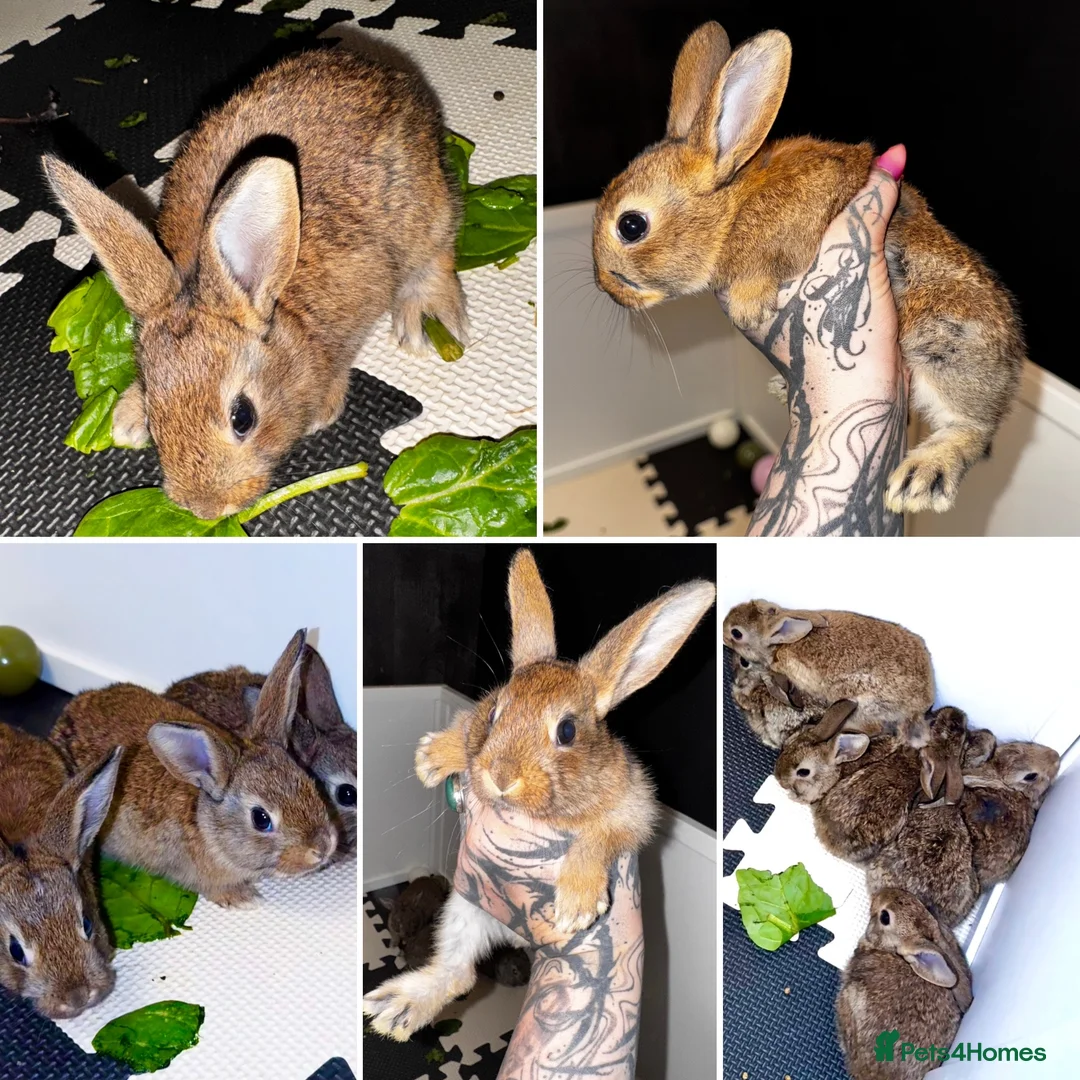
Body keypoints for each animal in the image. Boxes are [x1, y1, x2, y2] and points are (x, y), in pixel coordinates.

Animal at [43, 47, 468, 521]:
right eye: (157, 418)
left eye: (242, 418)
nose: (207, 509)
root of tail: (389, 73)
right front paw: (127, 419)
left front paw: (323, 407)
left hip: (426, 210)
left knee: (439, 246)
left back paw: (428, 317)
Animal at [50, 630, 337, 907]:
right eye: (261, 819)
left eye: (310, 782)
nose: (322, 847)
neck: (205, 824)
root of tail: (70, 710)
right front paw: (244, 899)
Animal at [363, 548, 716, 1041]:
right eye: (495, 711)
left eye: (567, 731)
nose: (500, 775)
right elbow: (464, 732)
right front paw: (432, 758)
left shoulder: (634, 809)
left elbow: (600, 836)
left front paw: (577, 903)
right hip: (462, 910)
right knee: (458, 974)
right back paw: (399, 1007)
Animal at [594, 21, 1023, 515]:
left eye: (631, 225)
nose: (606, 287)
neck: (730, 205)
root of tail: (1013, 369)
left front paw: (748, 303)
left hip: (943, 339)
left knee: (973, 428)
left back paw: (923, 477)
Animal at [724, 600, 935, 742]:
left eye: (736, 633)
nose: (723, 633)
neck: (781, 644)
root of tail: (922, 705)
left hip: (863, 705)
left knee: (873, 727)